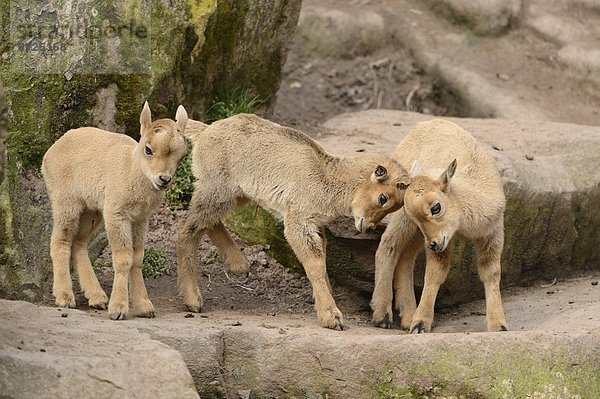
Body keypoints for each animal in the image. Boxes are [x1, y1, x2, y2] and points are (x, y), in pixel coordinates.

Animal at [42, 102, 188, 322]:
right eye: (148, 149)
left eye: (181, 155)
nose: (163, 179)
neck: (131, 170)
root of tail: (50, 152)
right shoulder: (117, 215)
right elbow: (123, 258)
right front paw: (118, 309)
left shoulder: (141, 218)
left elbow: (137, 257)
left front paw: (144, 307)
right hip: (66, 203)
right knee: (60, 241)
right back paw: (64, 297)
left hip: (93, 211)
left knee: (78, 243)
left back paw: (97, 297)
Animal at [370, 119, 506, 334]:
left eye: (436, 207)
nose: (433, 244)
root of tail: (421, 124)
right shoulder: (444, 240)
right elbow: (435, 273)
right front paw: (420, 324)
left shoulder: (493, 233)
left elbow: (491, 273)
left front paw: (499, 325)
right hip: (406, 222)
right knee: (388, 246)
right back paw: (383, 315)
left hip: (417, 233)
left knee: (406, 257)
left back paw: (407, 314)